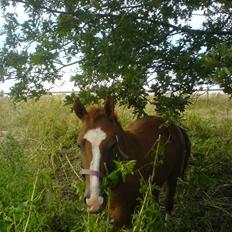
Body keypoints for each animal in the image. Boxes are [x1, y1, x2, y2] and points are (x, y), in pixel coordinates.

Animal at [73, 96, 191, 227]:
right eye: (79, 145)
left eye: (113, 143)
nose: (94, 201)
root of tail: (174, 126)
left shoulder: (124, 220)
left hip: (173, 177)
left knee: (168, 203)